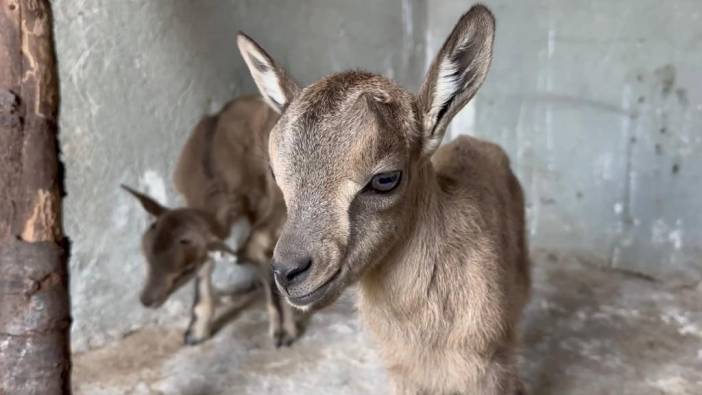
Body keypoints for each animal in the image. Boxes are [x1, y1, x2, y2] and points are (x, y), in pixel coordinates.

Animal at [122, 95, 298, 346]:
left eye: (185, 270)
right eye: (146, 257)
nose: (147, 299)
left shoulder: (269, 213)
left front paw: (284, 333)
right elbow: (206, 271)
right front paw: (195, 332)